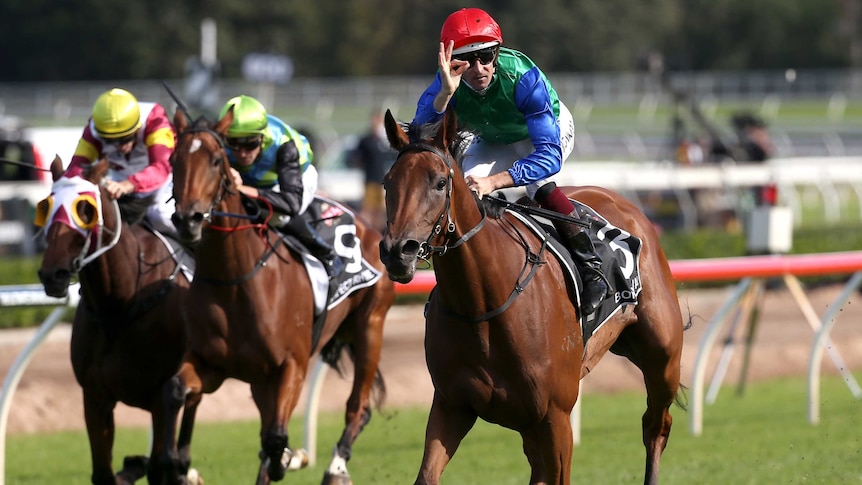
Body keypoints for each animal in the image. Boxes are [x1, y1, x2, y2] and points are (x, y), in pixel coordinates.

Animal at [36, 157, 199, 482]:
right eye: (46, 206)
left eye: (86, 210)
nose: (53, 275)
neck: (119, 304)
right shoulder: (94, 396)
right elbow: (103, 472)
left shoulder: (161, 398)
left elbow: (160, 465)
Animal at [165, 109, 398, 484]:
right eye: (174, 160)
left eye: (215, 161)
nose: (188, 220)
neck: (235, 281)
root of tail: (369, 227)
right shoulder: (211, 362)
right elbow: (176, 391)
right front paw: (177, 463)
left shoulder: (292, 365)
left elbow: (275, 438)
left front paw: (289, 458)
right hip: (262, 379)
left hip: (369, 327)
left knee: (356, 408)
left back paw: (335, 467)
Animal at [382, 109, 684, 484]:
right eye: (387, 183)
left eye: (439, 183)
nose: (398, 252)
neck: (482, 305)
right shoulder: (452, 405)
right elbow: (426, 475)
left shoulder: (555, 416)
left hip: (663, 357)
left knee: (656, 425)